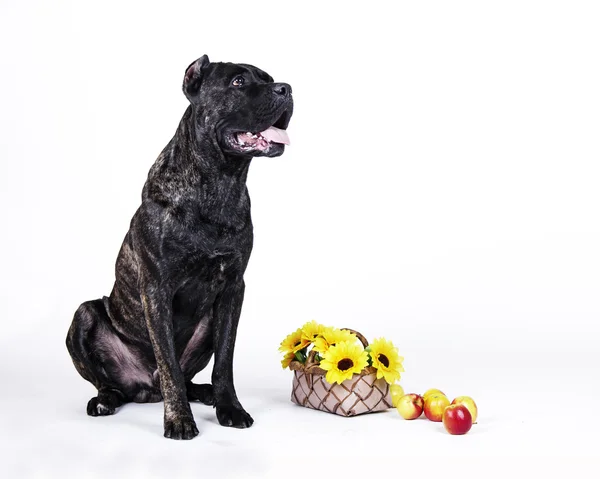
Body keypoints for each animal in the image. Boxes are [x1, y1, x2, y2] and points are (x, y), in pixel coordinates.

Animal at [65, 54, 292, 440]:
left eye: (269, 78)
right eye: (238, 82)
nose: (286, 89)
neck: (220, 182)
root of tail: (144, 389)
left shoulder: (233, 289)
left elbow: (225, 360)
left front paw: (229, 407)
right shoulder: (156, 289)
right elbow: (168, 362)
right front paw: (179, 420)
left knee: (189, 378)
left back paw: (205, 393)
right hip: (84, 315)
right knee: (112, 383)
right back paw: (106, 400)